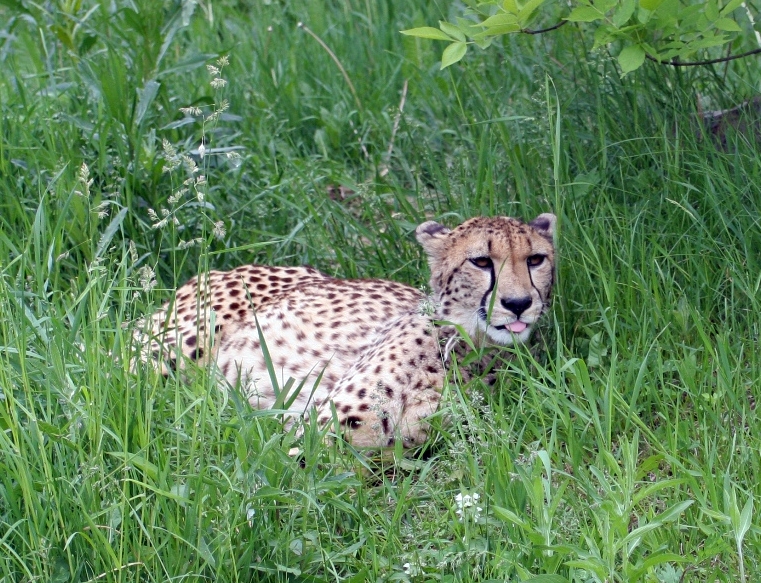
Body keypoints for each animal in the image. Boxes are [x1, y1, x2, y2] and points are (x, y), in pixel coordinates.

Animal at [136, 213, 557, 449]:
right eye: (481, 261)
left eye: (535, 259)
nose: (518, 303)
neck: (467, 345)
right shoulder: (324, 429)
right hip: (167, 355)